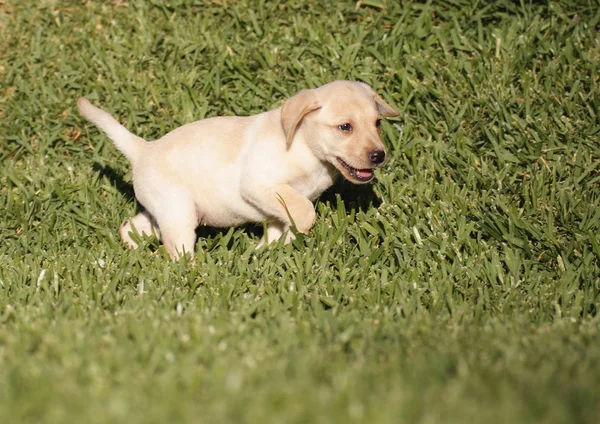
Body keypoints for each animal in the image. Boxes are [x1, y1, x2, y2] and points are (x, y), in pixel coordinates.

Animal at [79, 79, 398, 258]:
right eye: (345, 127)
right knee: (176, 251)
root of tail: (143, 149)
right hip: (179, 214)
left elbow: (280, 227)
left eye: (377, 123)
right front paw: (292, 237)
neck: (305, 146)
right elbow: (304, 212)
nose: (379, 156)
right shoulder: (260, 185)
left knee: (130, 227)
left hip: (165, 211)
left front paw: (266, 251)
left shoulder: (277, 205)